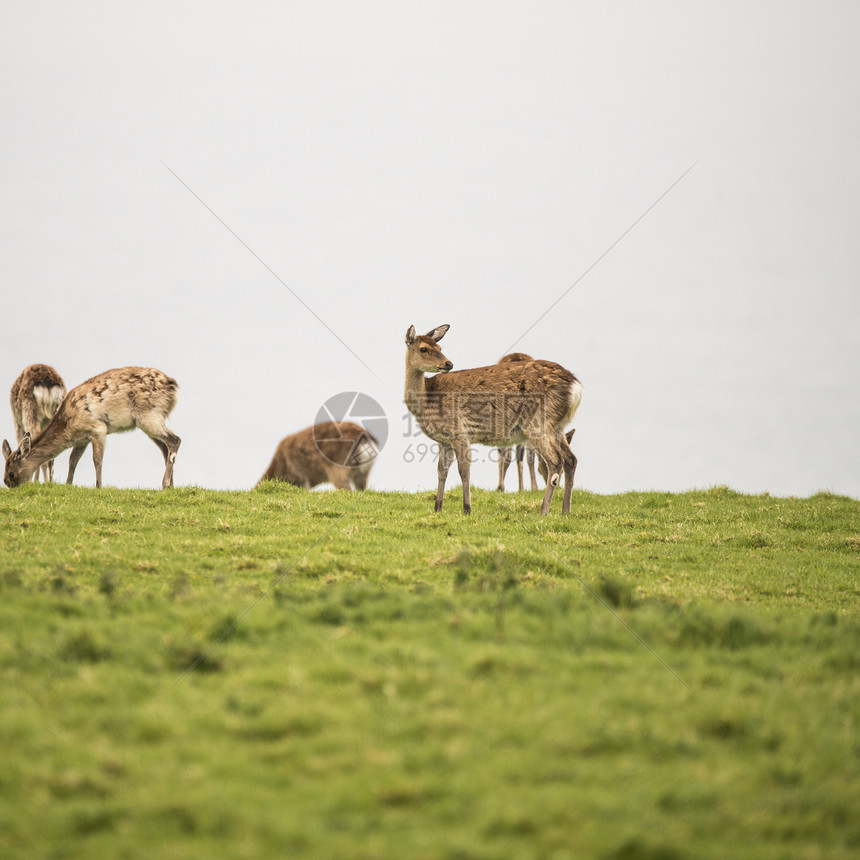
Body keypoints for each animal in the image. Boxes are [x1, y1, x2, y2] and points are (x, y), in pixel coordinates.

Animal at [2, 366, 181, 490]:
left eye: (11, 473)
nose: (9, 485)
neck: (68, 425)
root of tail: (173, 387)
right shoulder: (82, 439)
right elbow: (73, 460)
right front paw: (68, 484)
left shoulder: (97, 429)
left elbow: (97, 460)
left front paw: (98, 486)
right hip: (149, 420)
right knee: (164, 448)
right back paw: (171, 485)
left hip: (149, 415)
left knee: (175, 440)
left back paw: (166, 483)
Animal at [404, 324, 584, 512]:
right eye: (424, 348)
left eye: (439, 348)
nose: (448, 363)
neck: (427, 401)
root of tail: (576, 387)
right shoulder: (444, 440)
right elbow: (441, 470)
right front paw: (437, 508)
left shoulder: (459, 431)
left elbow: (464, 470)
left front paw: (467, 509)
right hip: (558, 425)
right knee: (571, 459)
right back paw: (565, 512)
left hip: (537, 422)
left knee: (555, 461)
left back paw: (544, 511)